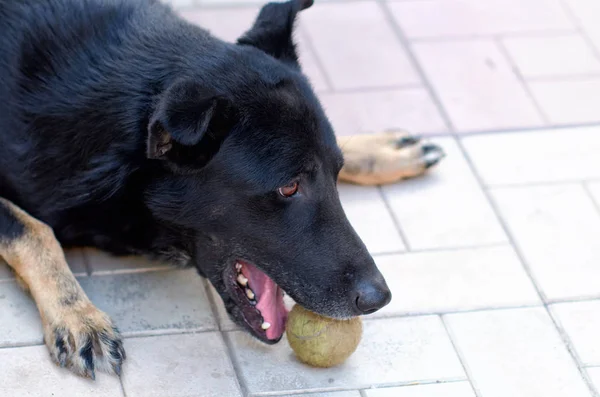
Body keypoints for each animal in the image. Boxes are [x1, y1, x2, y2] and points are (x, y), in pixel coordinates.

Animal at [0, 0, 390, 378]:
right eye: (289, 187)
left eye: (336, 173)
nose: (380, 298)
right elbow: (34, 230)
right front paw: (78, 316)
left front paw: (380, 150)